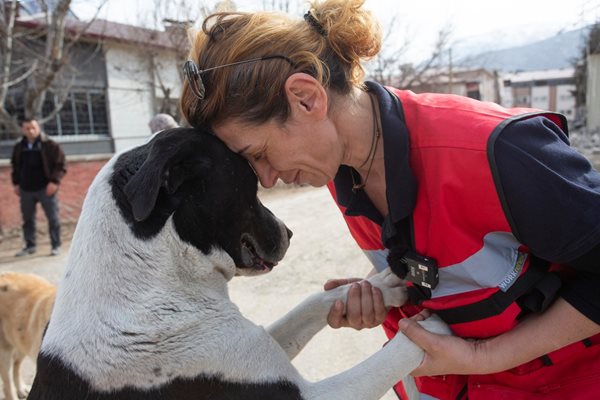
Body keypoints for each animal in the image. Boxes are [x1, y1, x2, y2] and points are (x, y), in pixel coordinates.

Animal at [28, 128, 450, 400]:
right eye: (251, 181)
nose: (289, 232)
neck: (152, 280)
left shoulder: (257, 343)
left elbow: (311, 304)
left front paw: (380, 287)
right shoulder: (305, 394)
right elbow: (387, 360)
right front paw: (431, 333)